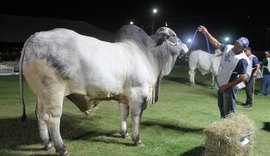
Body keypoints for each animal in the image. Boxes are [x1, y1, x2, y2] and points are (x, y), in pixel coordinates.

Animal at [19, 25, 188, 155]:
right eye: (173, 35)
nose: (186, 46)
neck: (149, 54)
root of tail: (34, 37)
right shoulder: (139, 95)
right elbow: (136, 117)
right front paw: (137, 140)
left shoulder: (124, 96)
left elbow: (123, 113)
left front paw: (124, 133)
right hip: (52, 93)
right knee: (52, 119)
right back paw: (61, 148)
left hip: (41, 94)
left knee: (40, 115)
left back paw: (47, 143)